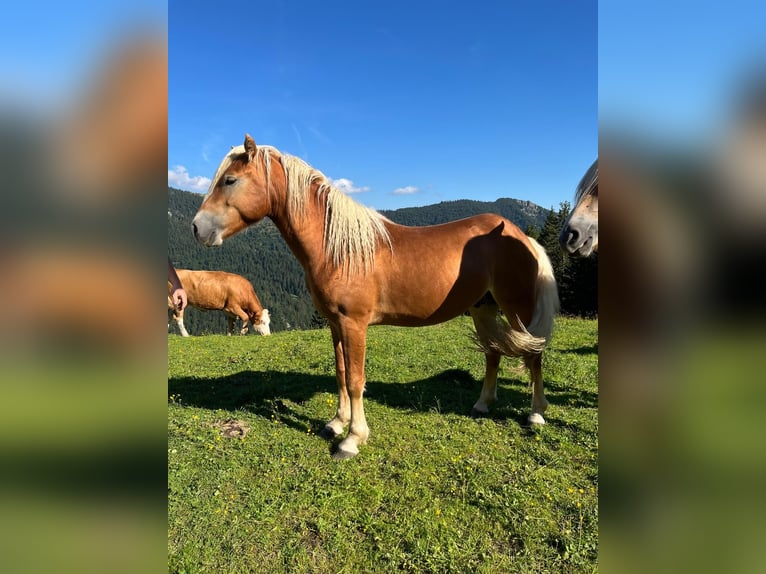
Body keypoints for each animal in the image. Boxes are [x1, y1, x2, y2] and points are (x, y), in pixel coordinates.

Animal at [194, 134, 560, 460]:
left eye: (229, 180)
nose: (197, 228)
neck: (339, 248)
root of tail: (520, 235)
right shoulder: (335, 324)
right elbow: (341, 374)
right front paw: (336, 424)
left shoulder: (354, 324)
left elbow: (356, 380)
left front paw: (352, 439)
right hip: (483, 308)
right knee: (493, 354)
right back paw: (482, 404)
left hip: (517, 308)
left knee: (533, 355)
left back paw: (536, 414)